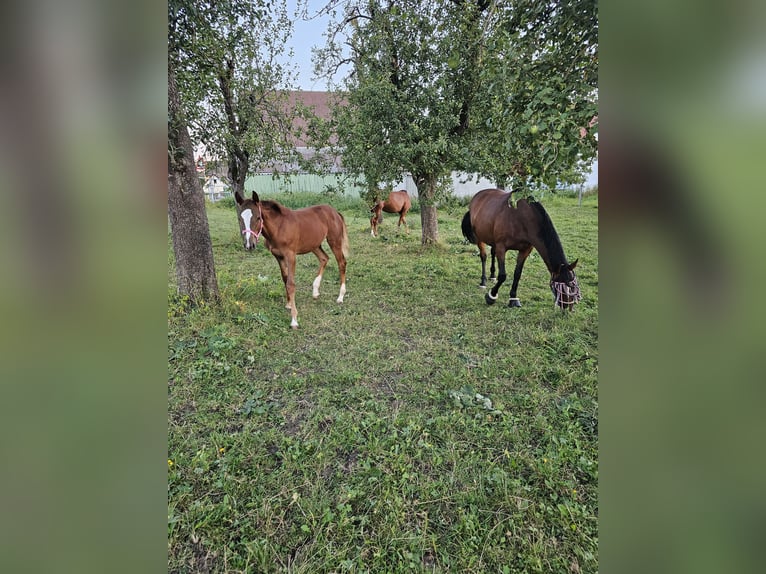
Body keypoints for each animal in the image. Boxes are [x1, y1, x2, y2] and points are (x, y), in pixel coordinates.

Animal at [236, 192, 350, 330]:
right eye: (240, 218)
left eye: (258, 217)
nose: (249, 245)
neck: (278, 227)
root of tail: (335, 212)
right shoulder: (278, 256)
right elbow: (285, 279)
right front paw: (289, 304)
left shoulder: (290, 256)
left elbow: (291, 283)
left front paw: (294, 320)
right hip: (314, 244)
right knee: (324, 258)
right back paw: (315, 290)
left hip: (334, 241)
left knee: (341, 263)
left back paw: (340, 296)